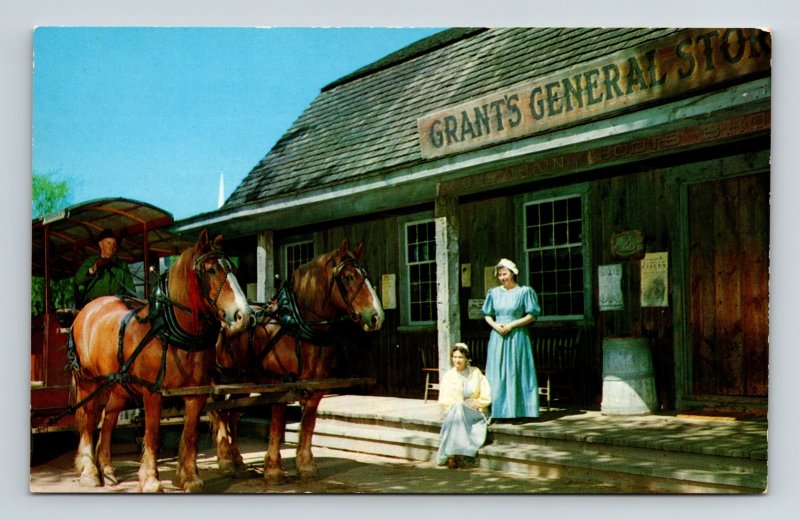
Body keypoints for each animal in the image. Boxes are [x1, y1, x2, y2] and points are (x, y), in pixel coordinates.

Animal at [70, 231, 250, 492]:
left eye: (233, 269)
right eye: (211, 270)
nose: (243, 316)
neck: (170, 332)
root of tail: (87, 310)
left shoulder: (196, 394)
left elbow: (191, 434)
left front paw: (190, 477)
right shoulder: (152, 393)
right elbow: (152, 434)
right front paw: (151, 480)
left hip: (119, 385)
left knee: (109, 418)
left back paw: (107, 468)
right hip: (88, 381)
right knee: (88, 419)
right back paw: (90, 471)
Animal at [211, 240, 386, 484]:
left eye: (366, 275)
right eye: (349, 277)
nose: (377, 317)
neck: (297, 326)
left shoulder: (316, 388)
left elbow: (309, 423)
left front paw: (306, 465)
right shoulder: (280, 385)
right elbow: (277, 424)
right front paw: (274, 469)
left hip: (244, 381)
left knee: (233, 415)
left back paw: (237, 459)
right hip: (222, 378)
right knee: (219, 413)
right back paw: (225, 460)